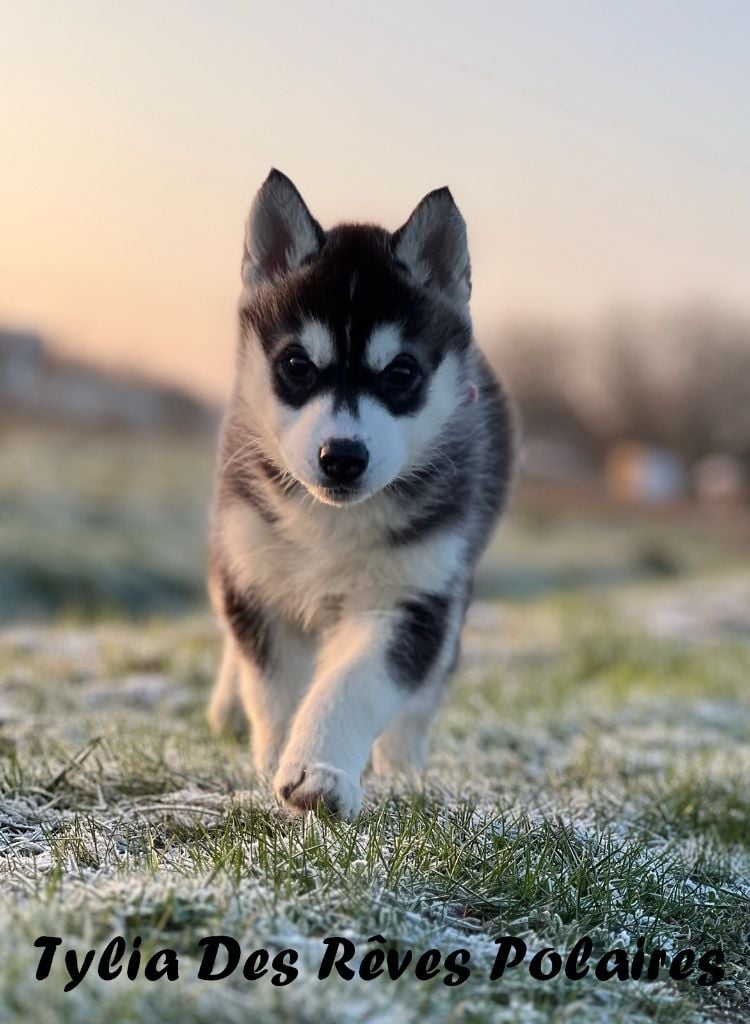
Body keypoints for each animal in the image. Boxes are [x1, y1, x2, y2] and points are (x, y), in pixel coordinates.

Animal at [209, 172, 516, 819]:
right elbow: (271, 682)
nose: (343, 458)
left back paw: (404, 762)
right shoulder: (257, 574)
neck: (331, 524)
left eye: (400, 373)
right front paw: (275, 755)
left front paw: (318, 771)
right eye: (296, 364)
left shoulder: (409, 601)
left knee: (426, 688)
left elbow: (354, 686)